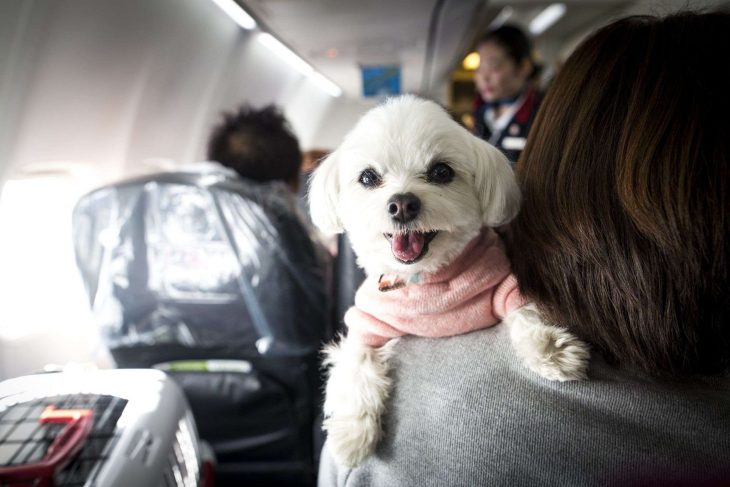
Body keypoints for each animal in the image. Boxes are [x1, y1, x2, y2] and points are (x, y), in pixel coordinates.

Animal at [308, 96, 584, 468]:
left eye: (441, 172)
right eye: (368, 177)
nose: (402, 204)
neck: (426, 280)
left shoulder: (501, 283)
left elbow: (524, 311)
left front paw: (552, 351)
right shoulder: (367, 322)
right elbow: (357, 363)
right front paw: (352, 434)